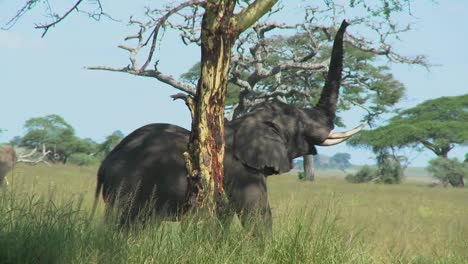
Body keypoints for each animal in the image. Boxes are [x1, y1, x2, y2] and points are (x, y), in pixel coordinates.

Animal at [92, 20, 358, 229]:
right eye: (301, 120)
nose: (346, 22)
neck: (249, 120)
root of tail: (104, 165)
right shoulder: (242, 171)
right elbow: (258, 217)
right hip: (129, 185)